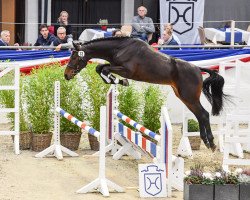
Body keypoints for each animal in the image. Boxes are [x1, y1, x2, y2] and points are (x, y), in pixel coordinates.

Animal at [64, 36, 229, 151]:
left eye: (74, 56)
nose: (66, 75)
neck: (120, 48)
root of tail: (197, 69)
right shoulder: (114, 65)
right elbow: (100, 68)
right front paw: (115, 81)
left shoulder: (126, 70)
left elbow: (103, 69)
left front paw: (119, 81)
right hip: (183, 97)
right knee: (200, 115)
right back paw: (207, 142)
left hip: (189, 97)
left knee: (203, 114)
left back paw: (211, 143)